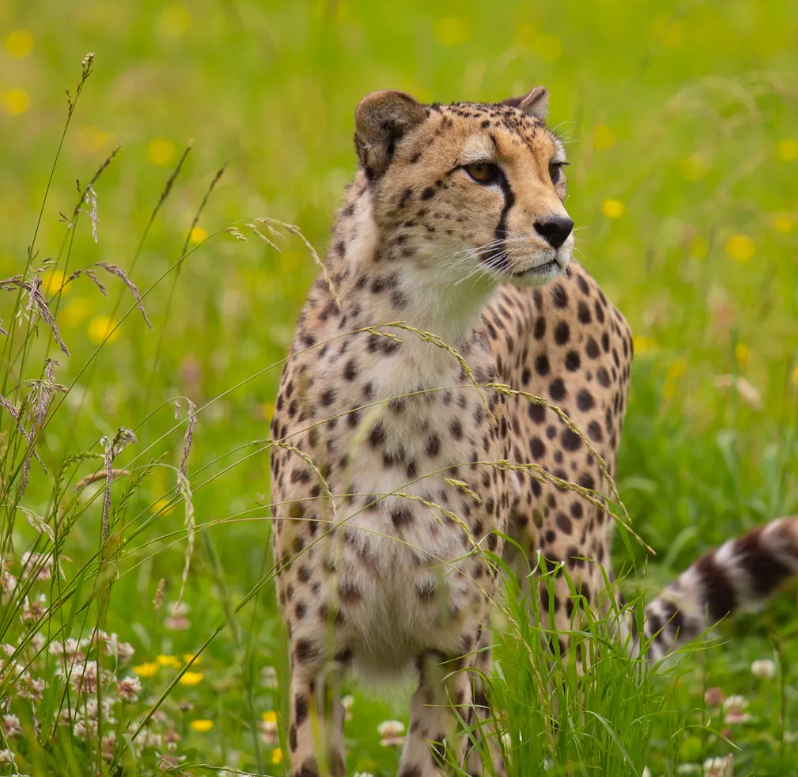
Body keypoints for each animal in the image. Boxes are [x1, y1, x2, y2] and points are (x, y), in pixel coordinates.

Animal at [269, 86, 798, 777]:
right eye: (481, 171)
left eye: (554, 168)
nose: (559, 228)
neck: (413, 343)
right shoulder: (317, 657)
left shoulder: (451, 652)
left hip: (566, 574)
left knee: (569, 710)